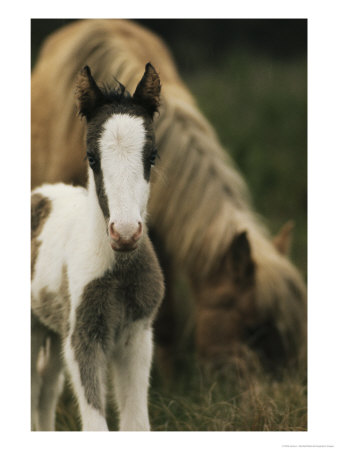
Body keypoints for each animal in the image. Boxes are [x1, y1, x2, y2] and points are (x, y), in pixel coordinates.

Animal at [30, 64, 164, 432]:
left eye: (152, 155)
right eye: (91, 158)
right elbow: (95, 425)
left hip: (48, 328)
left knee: (44, 389)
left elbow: (136, 424)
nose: (126, 233)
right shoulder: (82, 338)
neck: (118, 270)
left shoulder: (137, 335)